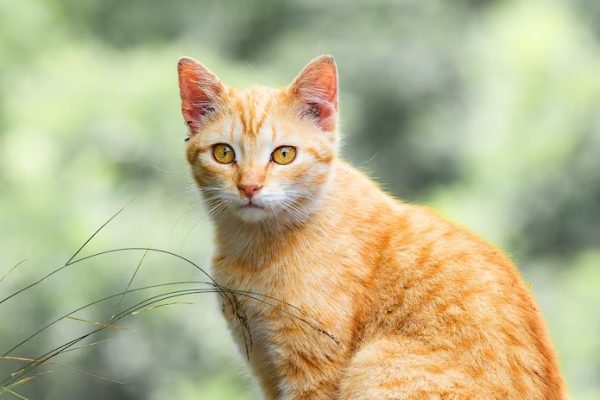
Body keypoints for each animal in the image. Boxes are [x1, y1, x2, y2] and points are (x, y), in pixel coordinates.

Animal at [176, 54, 564, 398]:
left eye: (284, 154)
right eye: (224, 153)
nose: (249, 187)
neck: (254, 249)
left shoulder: (313, 370)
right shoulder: (264, 365)